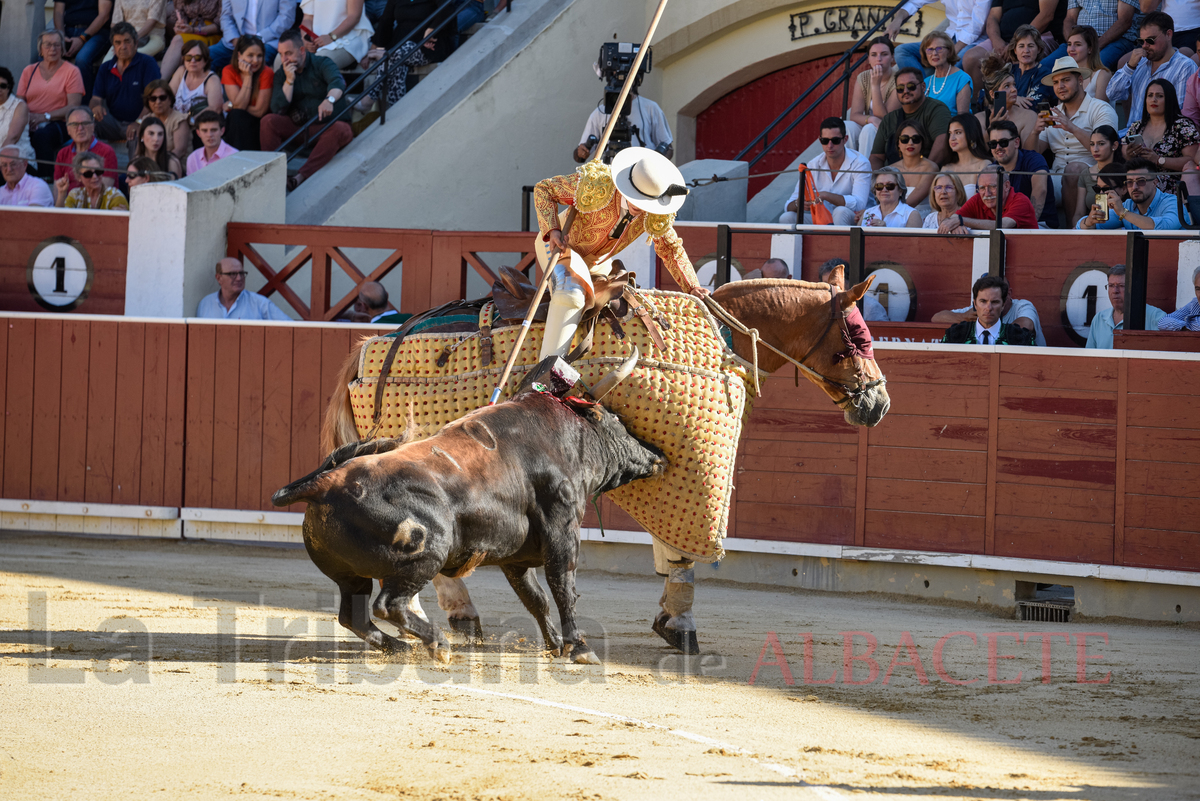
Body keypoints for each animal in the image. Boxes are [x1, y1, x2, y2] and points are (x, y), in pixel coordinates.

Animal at [272, 393, 667, 661]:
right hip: (426, 553)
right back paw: (438, 644)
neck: (565, 441)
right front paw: (579, 647)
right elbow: (563, 585)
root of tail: (326, 483)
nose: (657, 455)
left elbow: (536, 598)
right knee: (388, 605)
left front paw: (555, 644)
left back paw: (399, 647)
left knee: (352, 615)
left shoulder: (515, 559)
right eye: (619, 424)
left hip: (349, 575)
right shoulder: (563, 529)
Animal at [314, 268, 888, 652]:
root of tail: (366, 348)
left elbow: (670, 549)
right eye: (856, 338)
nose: (877, 404)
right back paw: (448, 619)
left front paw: (671, 620)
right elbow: (679, 551)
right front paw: (679, 626)